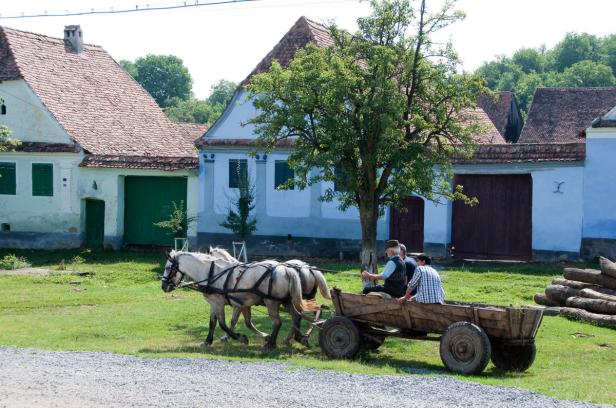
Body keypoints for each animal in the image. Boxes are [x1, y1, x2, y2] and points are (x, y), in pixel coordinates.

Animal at [162, 250, 306, 350]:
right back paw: (297, 338)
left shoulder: (219, 303)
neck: (211, 272)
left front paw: (241, 338)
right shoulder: (215, 303)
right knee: (296, 316)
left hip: (272, 302)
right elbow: (213, 323)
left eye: (168, 268)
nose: (163, 286)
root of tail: (286, 270)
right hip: (286, 301)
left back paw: (270, 344)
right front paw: (208, 341)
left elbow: (222, 324)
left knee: (277, 322)